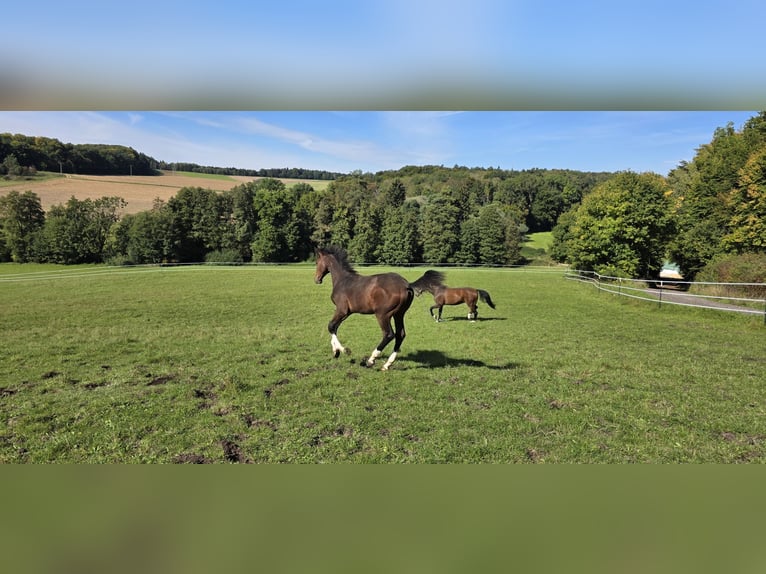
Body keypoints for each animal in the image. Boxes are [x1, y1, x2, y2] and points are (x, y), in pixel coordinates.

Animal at [314, 247, 443, 370]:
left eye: (317, 262)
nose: (316, 279)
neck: (343, 280)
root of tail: (406, 285)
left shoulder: (342, 310)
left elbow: (331, 326)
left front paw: (343, 350)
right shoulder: (346, 313)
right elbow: (334, 327)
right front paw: (335, 352)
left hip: (382, 315)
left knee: (389, 334)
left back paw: (370, 360)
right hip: (399, 314)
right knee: (400, 334)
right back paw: (387, 364)